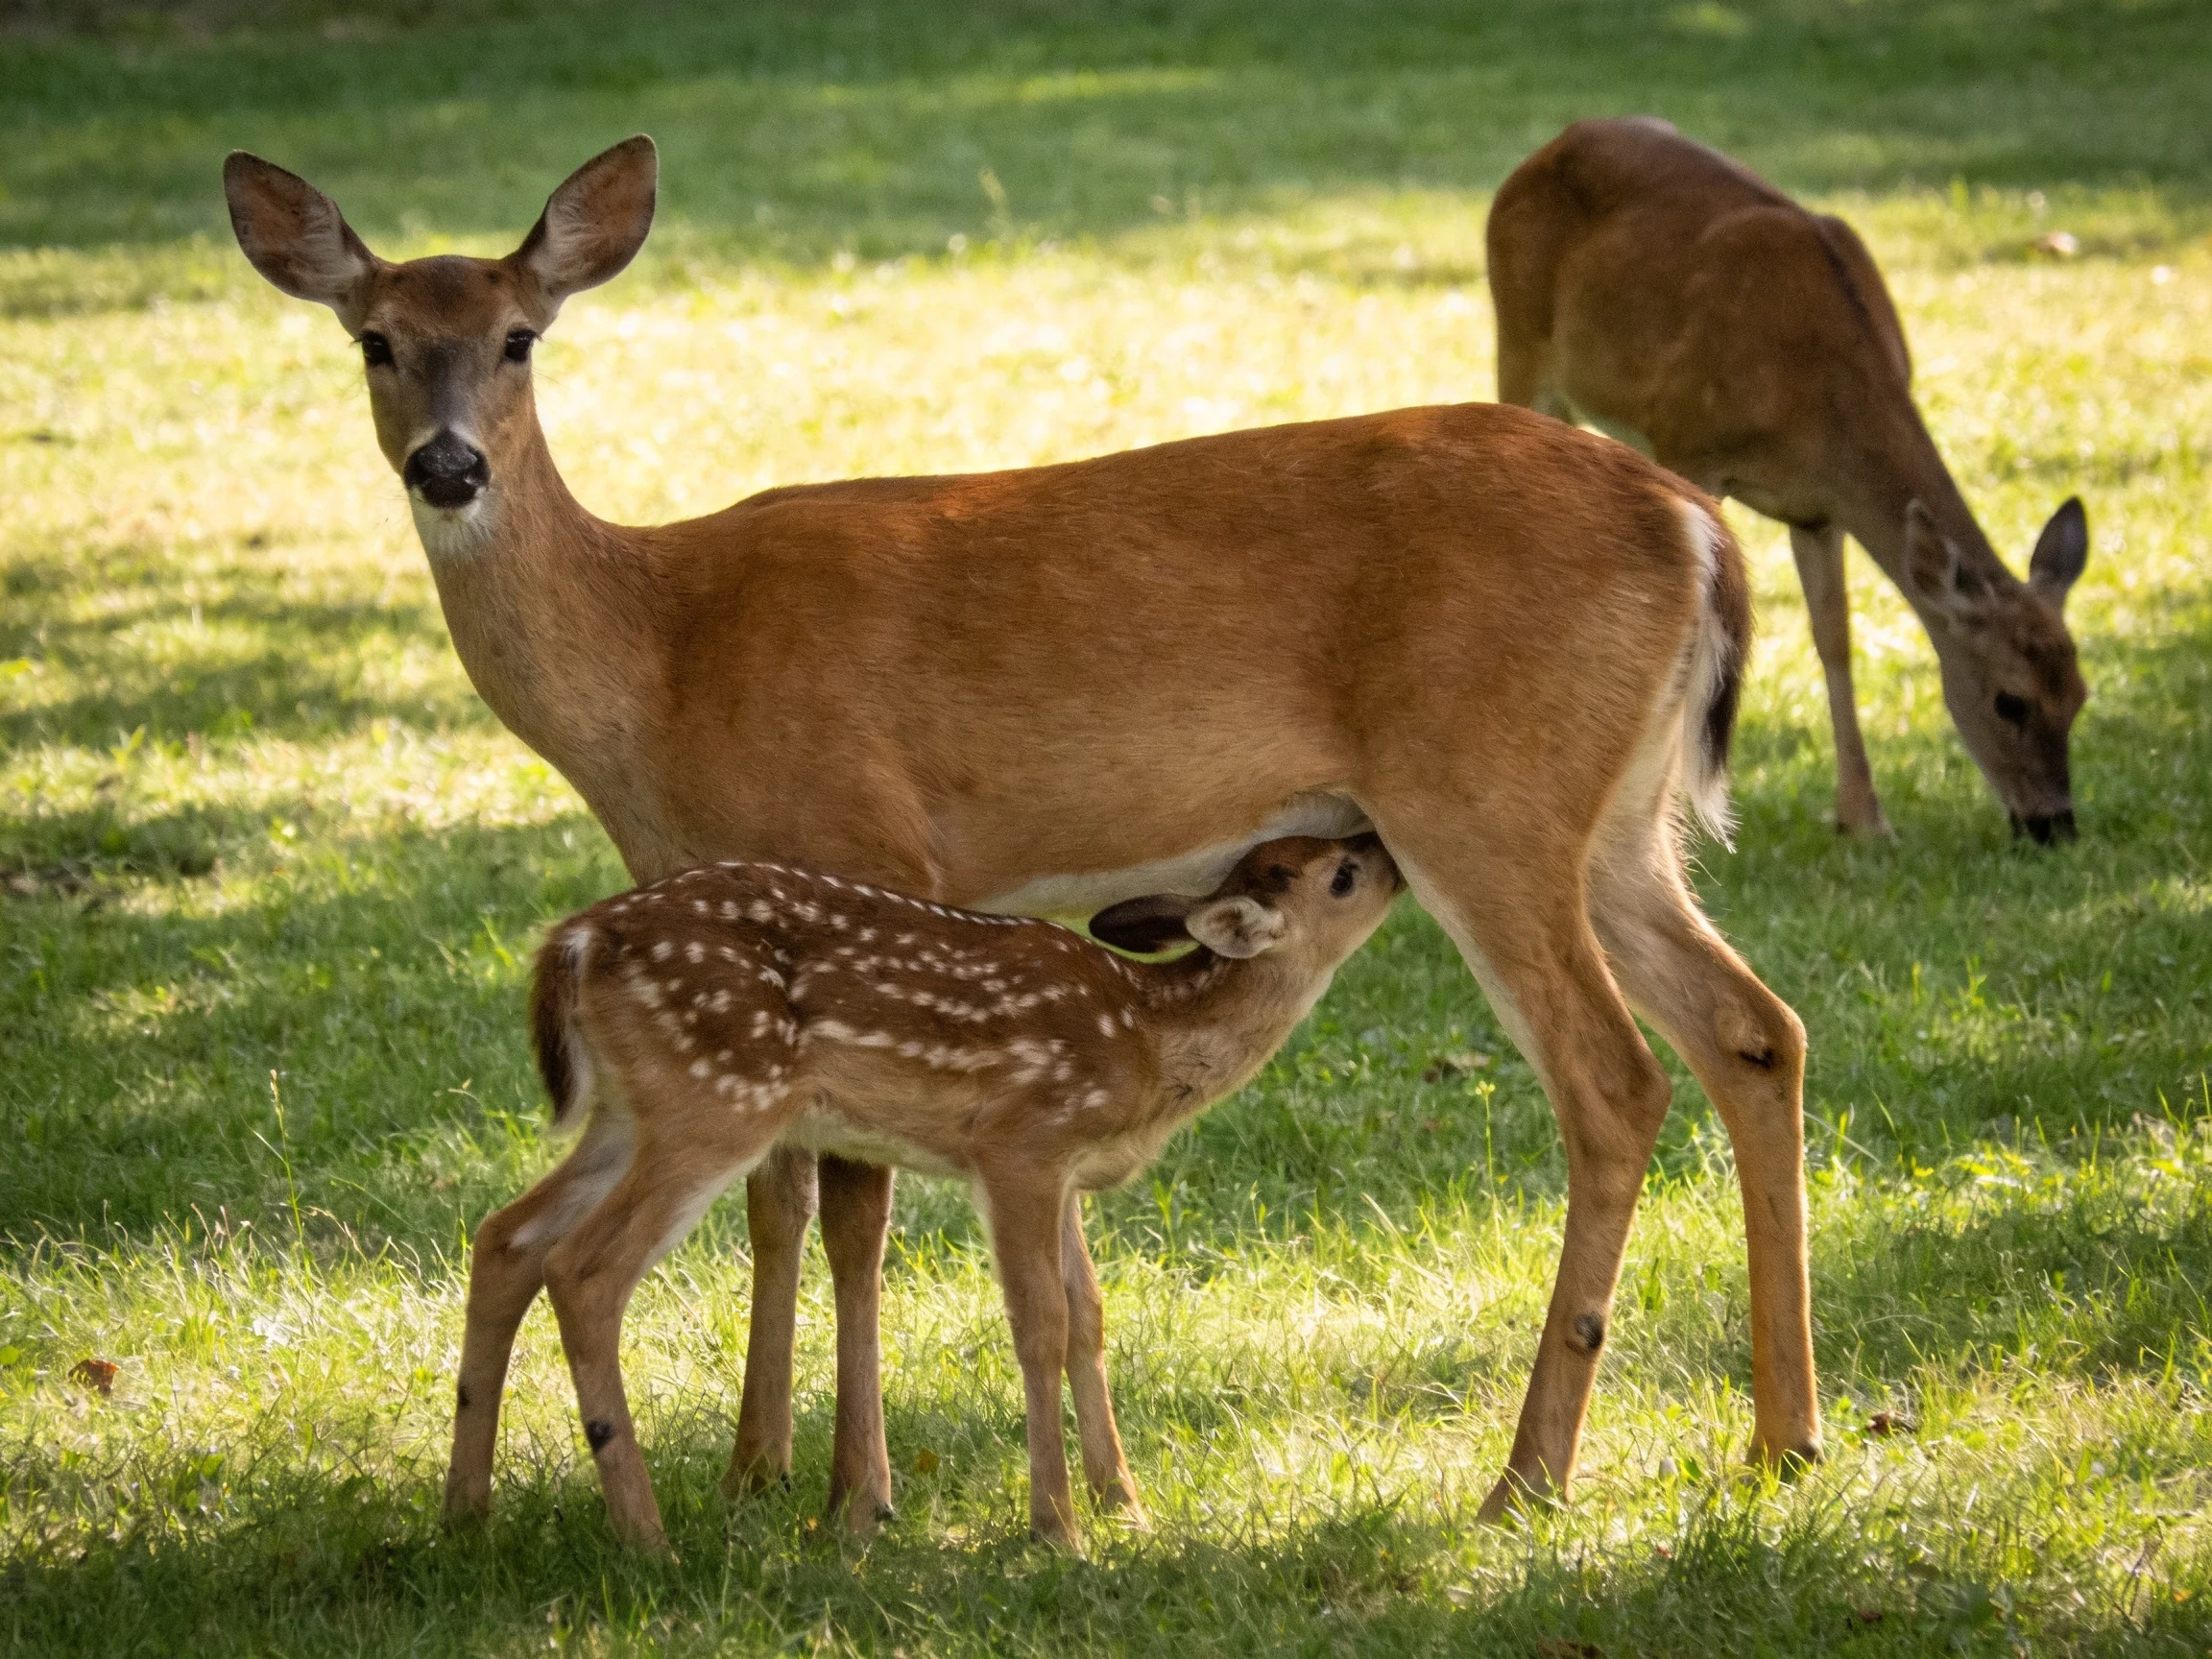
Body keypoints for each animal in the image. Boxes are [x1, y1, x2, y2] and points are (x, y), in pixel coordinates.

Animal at [446, 835, 1403, 1550]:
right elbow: (1041, 1323)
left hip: (628, 1109)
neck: (1148, 1038)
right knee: (585, 1268)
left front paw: (1123, 1503)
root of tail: (575, 941)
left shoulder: (1065, 1173)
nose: (1383, 845)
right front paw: (1057, 1529)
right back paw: (646, 1538)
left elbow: (1090, 1314)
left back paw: (466, 1515)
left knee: (506, 1235)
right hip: (715, 1096)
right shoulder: (1020, 1142)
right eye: (1341, 876)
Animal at [1488, 117, 2091, 843]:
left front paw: (1864, 818)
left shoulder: (1820, 509)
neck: (1816, 386)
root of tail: (1540, 152)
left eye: (2080, 695)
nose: (2054, 826)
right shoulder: (1689, 440)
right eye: (2010, 701)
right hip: (1519, 342)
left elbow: (1834, 637)